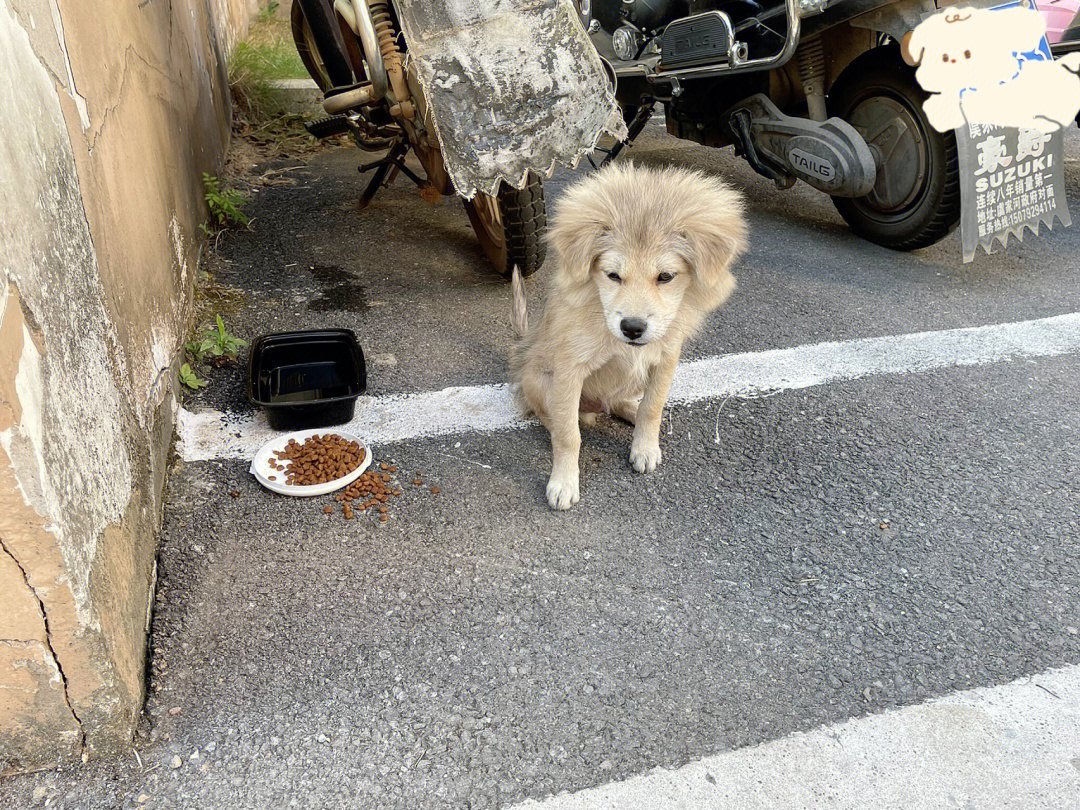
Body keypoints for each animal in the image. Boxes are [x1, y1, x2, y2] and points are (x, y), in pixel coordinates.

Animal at [509, 162, 747, 509]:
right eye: (612, 275)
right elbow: (568, 436)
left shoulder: (666, 359)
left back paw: (630, 412)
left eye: (665, 276)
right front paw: (564, 481)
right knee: (552, 415)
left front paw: (644, 447)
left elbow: (653, 407)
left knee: (623, 401)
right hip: (538, 381)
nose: (632, 328)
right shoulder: (569, 370)